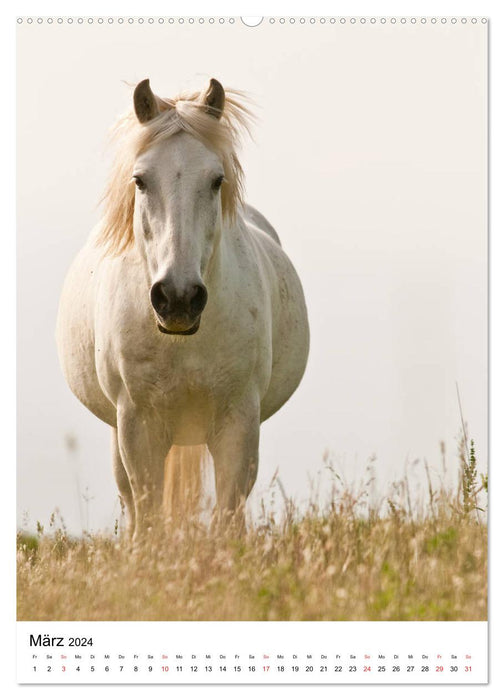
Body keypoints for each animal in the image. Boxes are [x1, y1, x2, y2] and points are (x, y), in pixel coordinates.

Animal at [55, 78, 308, 536]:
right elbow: (149, 515)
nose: (178, 299)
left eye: (216, 180)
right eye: (139, 180)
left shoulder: (238, 422)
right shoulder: (137, 424)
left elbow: (228, 518)